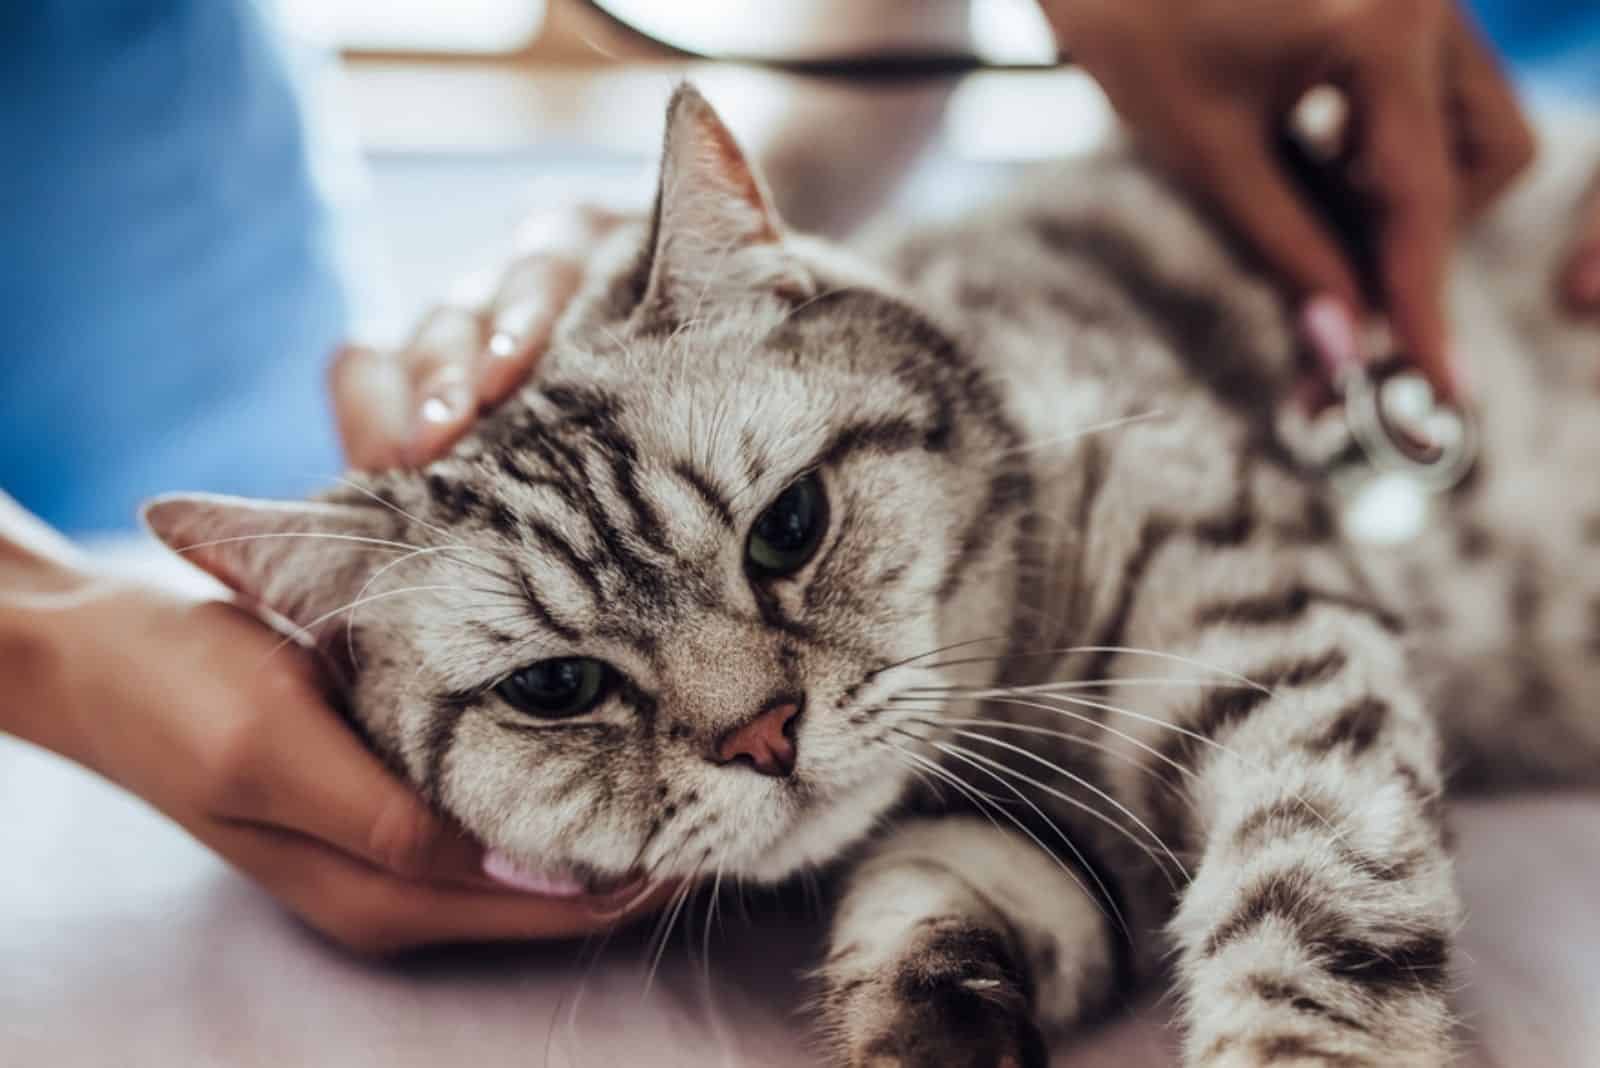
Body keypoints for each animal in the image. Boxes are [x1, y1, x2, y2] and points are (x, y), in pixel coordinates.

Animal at [150, 89, 1600, 1068]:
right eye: (557, 688)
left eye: (787, 527)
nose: (762, 736)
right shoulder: (1024, 844)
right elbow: (917, 921)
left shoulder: (1277, 658)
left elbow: (1303, 924)